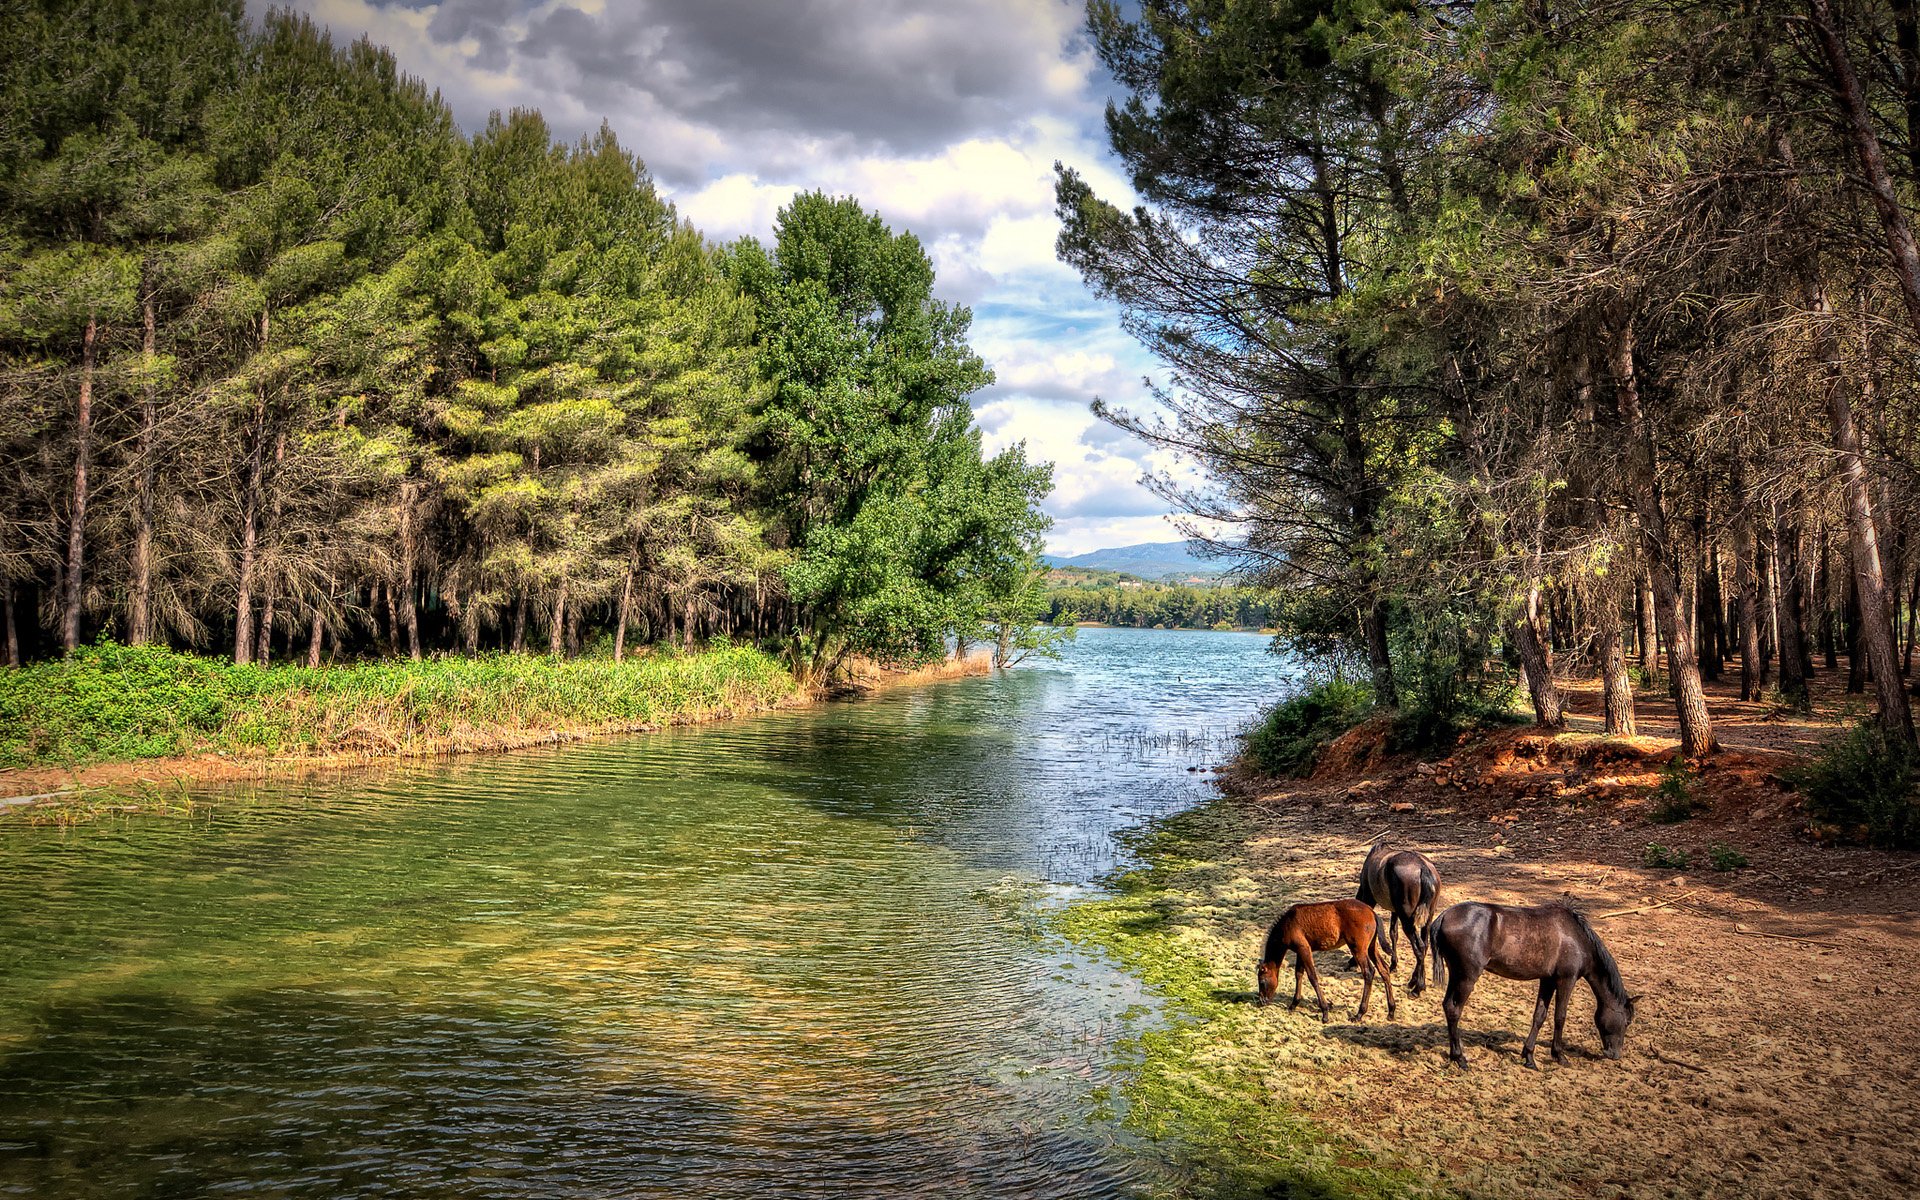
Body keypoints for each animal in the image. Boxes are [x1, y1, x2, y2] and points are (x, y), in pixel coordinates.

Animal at [1257, 898, 1396, 1022]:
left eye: (1262, 982)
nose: (1262, 1001)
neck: (1286, 925)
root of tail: (1372, 912)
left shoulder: (1304, 948)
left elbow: (1312, 977)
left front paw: (1325, 1012)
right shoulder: (1300, 951)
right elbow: (1298, 974)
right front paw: (1293, 1004)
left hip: (1358, 948)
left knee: (1369, 972)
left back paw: (1359, 1014)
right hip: (1371, 947)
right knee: (1384, 969)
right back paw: (1391, 1011)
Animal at [1354, 843, 1442, 994]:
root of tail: (1423, 869)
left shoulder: (1369, 898)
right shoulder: (1395, 911)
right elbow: (1393, 933)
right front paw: (1393, 964)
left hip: (1407, 919)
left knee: (1419, 947)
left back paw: (1418, 986)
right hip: (1426, 918)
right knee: (1424, 946)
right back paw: (1415, 981)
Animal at [1428, 902, 1637, 1070]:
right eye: (1627, 1021)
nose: (1615, 1054)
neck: (1576, 937)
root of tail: (1443, 916)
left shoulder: (1547, 980)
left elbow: (1539, 1016)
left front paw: (1529, 1056)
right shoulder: (1566, 980)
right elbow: (1560, 1017)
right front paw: (1559, 1055)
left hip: (1456, 975)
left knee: (1447, 1006)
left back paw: (1455, 1055)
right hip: (1466, 977)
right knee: (1454, 1010)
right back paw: (1460, 1058)